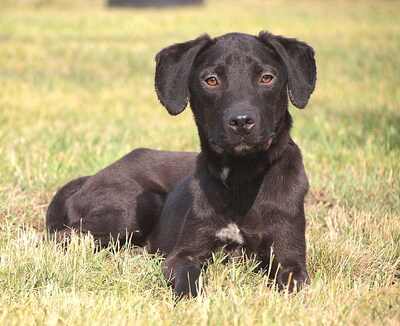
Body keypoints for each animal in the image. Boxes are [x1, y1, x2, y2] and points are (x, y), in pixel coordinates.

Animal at [147, 31, 316, 296]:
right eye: (211, 80)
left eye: (266, 78)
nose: (241, 121)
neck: (242, 177)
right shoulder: (183, 255)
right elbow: (187, 280)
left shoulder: (291, 261)